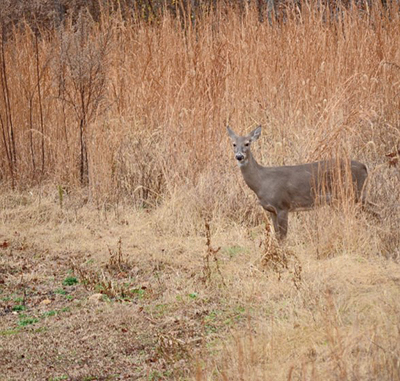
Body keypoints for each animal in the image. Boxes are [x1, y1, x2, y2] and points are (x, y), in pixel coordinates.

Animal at [227, 125, 374, 240]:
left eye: (247, 143)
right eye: (234, 144)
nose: (239, 156)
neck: (261, 182)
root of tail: (364, 167)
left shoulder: (282, 205)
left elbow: (283, 237)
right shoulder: (271, 210)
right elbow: (277, 236)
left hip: (355, 193)